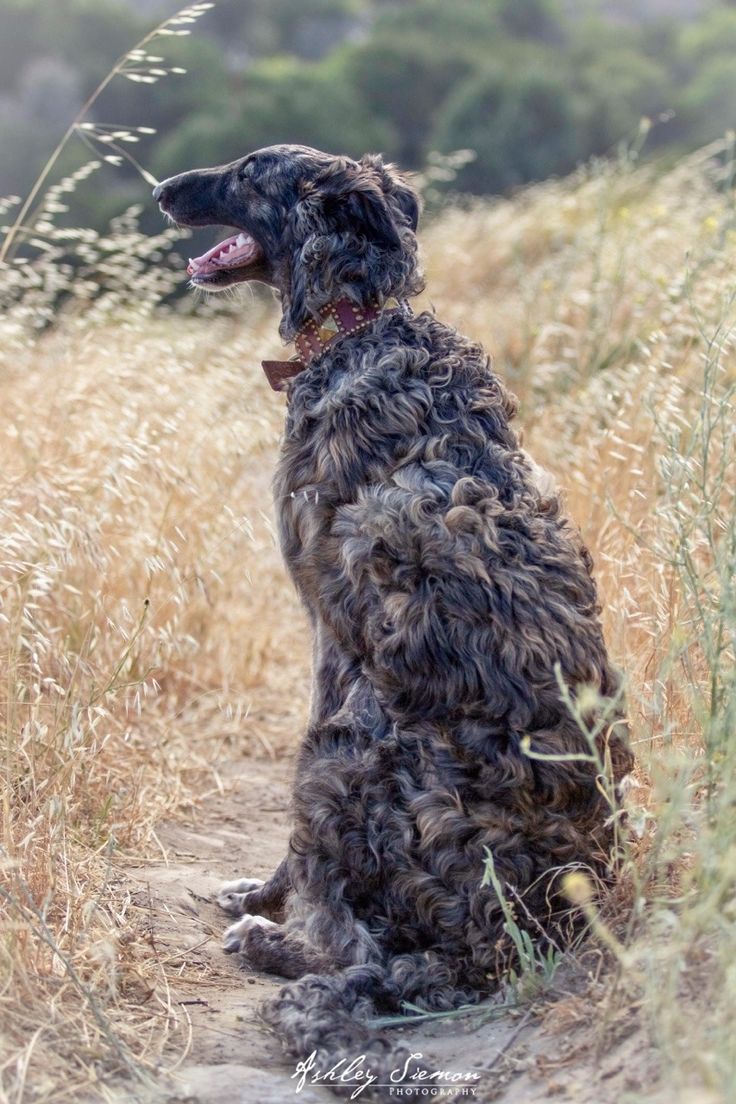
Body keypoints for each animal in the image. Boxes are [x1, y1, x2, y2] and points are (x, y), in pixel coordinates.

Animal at [154, 146, 635, 1086]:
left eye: (252, 171)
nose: (161, 189)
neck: (359, 327)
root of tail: (504, 940)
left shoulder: (329, 637)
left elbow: (295, 862)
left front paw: (260, 896)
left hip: (343, 750)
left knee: (353, 950)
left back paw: (269, 939)